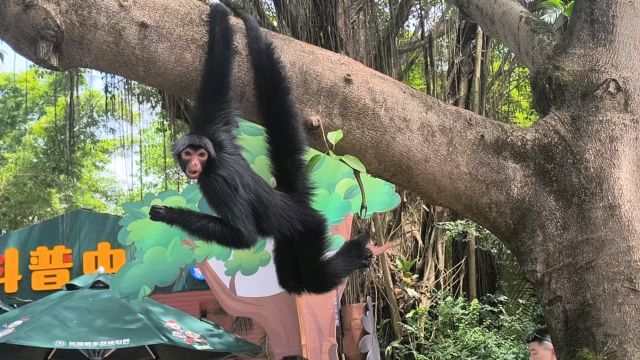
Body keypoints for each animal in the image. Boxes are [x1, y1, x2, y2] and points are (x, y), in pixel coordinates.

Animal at [149, 2, 370, 294]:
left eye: (201, 155)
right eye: (188, 153)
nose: (195, 163)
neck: (215, 161)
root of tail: (291, 201)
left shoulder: (216, 180)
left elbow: (244, 235)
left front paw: (168, 214)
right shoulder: (216, 133)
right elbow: (217, 81)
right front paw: (221, 14)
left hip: (311, 227)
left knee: (313, 278)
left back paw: (355, 252)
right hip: (288, 238)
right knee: (292, 281)